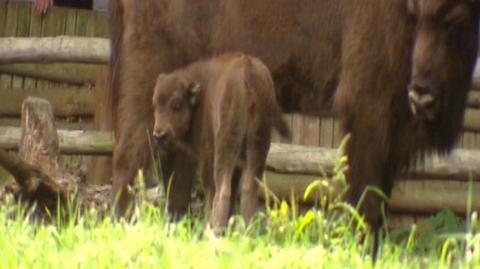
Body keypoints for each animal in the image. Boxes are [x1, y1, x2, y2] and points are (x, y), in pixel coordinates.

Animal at [152, 54, 290, 228]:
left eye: (177, 105)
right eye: (155, 104)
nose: (159, 135)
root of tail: (248, 70)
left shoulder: (207, 157)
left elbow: (210, 191)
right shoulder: (237, 164)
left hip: (225, 147)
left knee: (222, 191)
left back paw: (214, 229)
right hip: (259, 144)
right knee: (248, 190)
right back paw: (246, 229)